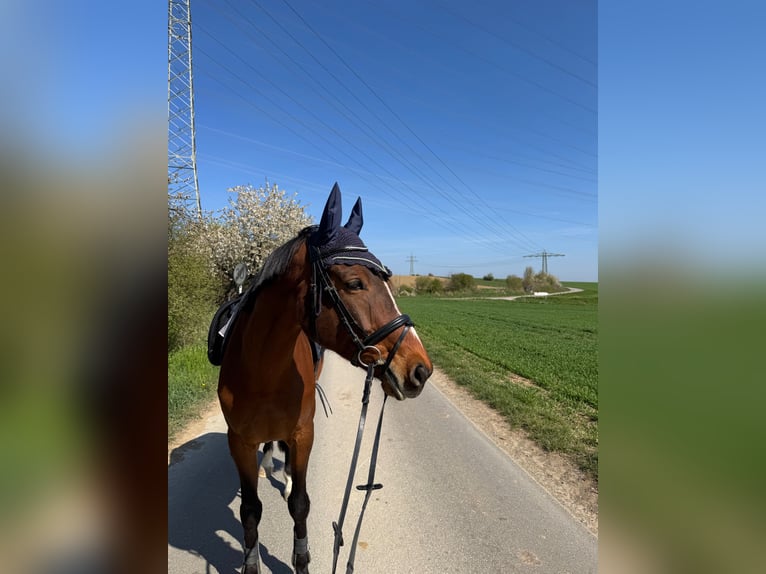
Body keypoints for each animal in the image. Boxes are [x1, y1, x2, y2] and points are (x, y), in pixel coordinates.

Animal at [217, 183, 433, 574]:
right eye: (354, 283)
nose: (420, 369)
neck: (264, 369)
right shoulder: (238, 441)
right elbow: (250, 511)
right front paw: (251, 563)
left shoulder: (304, 433)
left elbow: (300, 504)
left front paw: (301, 560)